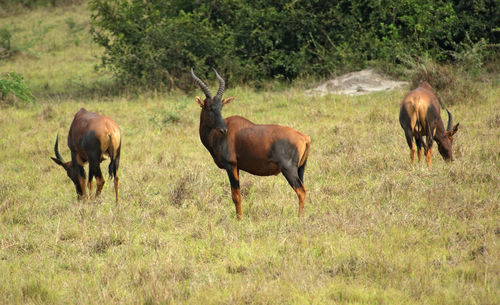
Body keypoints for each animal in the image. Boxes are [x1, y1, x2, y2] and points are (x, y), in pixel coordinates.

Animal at [190, 68, 308, 218]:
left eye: (221, 107)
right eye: (209, 107)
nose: (223, 129)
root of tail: (304, 137)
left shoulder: (231, 165)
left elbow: (236, 196)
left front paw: (239, 219)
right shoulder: (237, 167)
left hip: (289, 169)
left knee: (301, 191)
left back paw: (299, 218)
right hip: (301, 169)